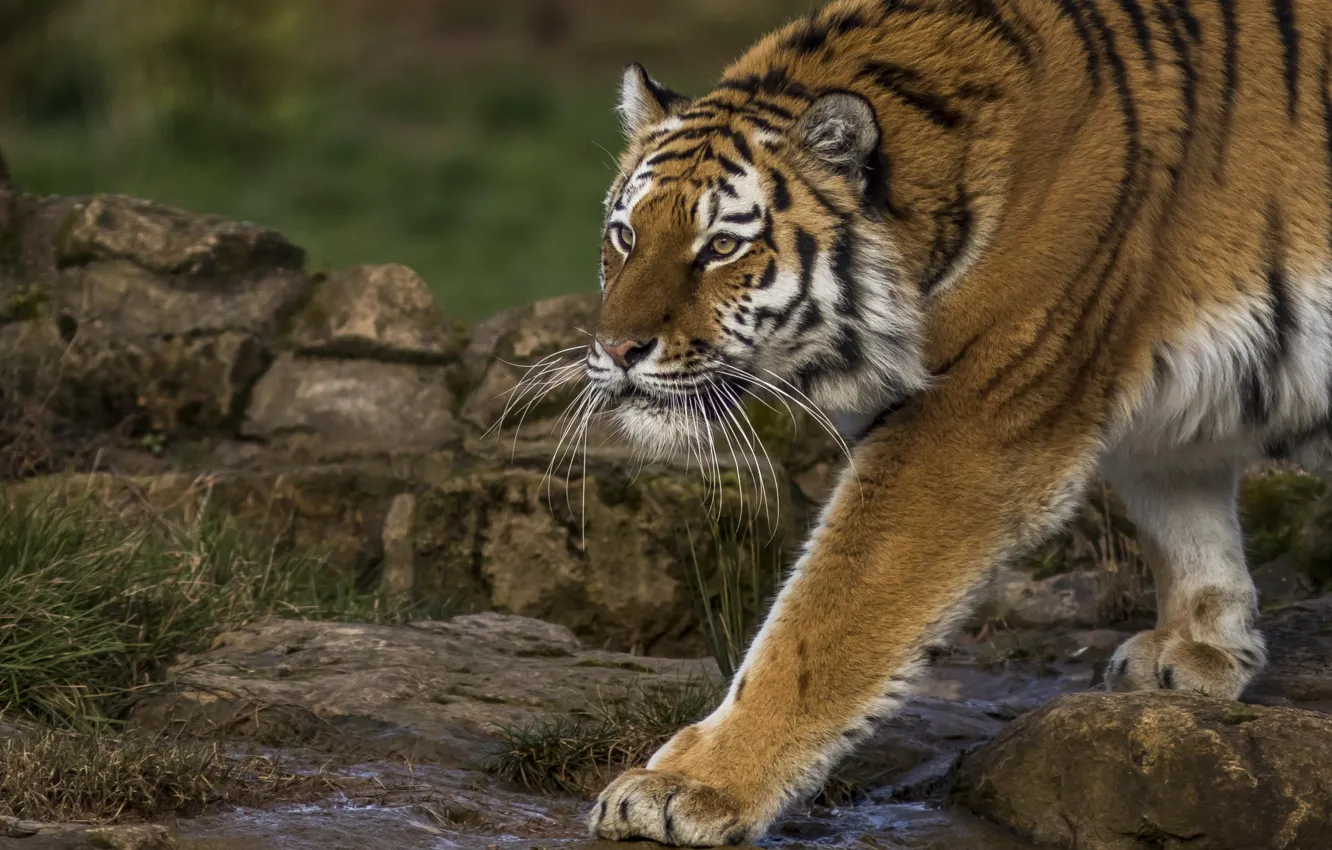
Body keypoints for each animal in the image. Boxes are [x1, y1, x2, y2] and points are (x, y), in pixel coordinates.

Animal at [577, 0, 1331, 843]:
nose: (617, 349)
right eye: (626, 236)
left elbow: (820, 624)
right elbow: (1182, 507)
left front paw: (685, 787)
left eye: (722, 247)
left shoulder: (972, 421)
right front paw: (1197, 651)